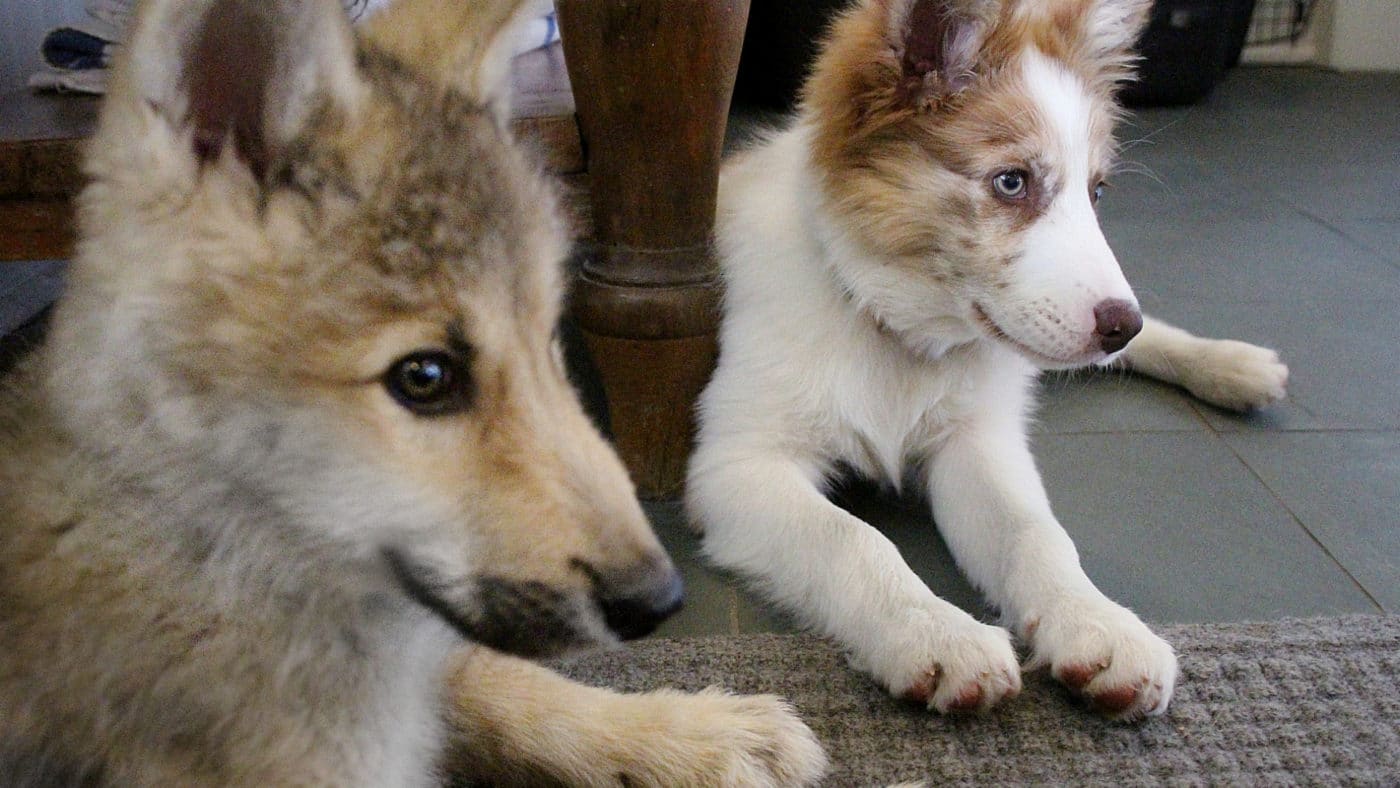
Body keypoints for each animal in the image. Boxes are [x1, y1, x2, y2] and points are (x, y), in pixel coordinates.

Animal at [683, 0, 1282, 722]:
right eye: (1011, 182)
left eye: (1097, 193)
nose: (1119, 326)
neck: (898, 333)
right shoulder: (738, 464)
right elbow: (850, 538)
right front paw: (933, 631)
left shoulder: (976, 440)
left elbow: (1036, 532)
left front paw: (1098, 622)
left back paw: (1232, 366)